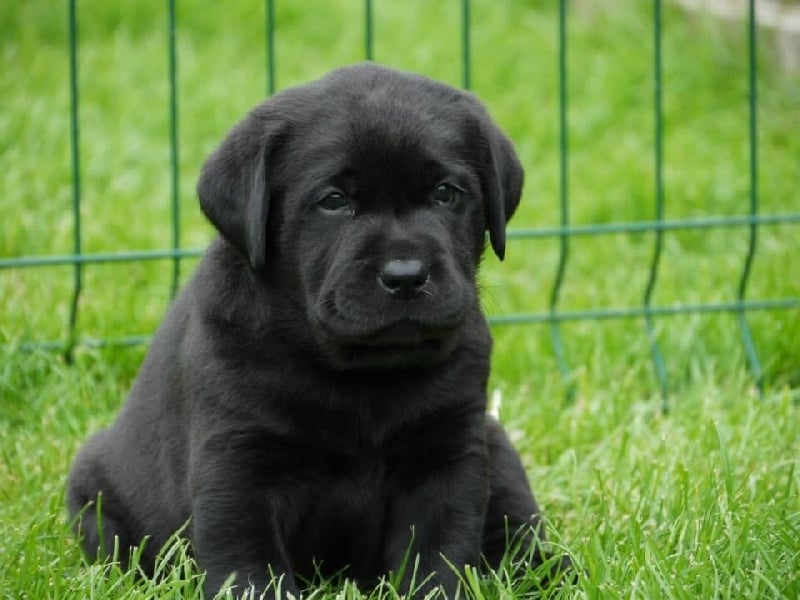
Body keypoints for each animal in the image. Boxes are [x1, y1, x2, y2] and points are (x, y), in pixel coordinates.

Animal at [70, 63, 568, 596]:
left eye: (445, 193)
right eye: (333, 201)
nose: (406, 275)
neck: (359, 374)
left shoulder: (448, 455)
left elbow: (437, 558)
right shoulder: (236, 464)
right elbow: (249, 566)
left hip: (495, 444)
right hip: (94, 494)